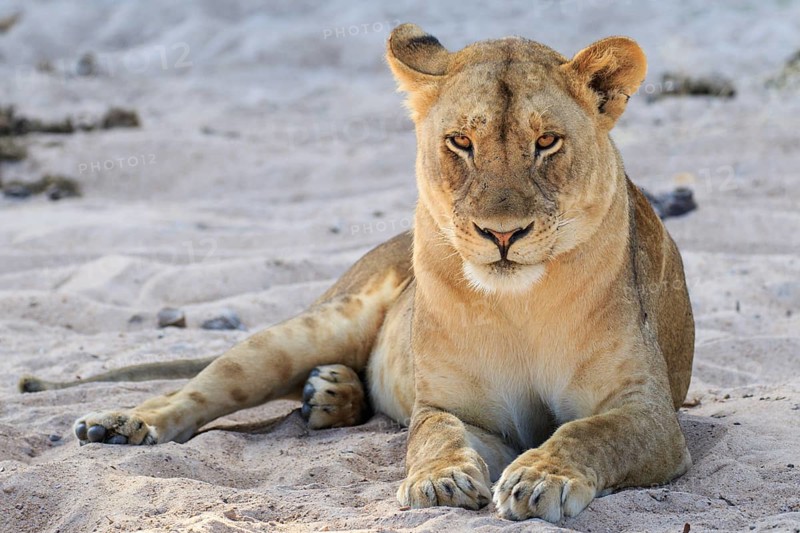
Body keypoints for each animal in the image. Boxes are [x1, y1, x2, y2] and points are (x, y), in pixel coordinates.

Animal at [20, 24, 694, 522]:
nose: (502, 235)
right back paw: (123, 424)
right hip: (308, 329)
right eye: (461, 142)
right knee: (198, 390)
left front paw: (538, 476)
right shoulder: (457, 407)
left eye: (548, 141)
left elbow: (589, 433)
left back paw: (330, 395)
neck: (518, 305)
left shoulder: (651, 416)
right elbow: (433, 434)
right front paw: (441, 482)